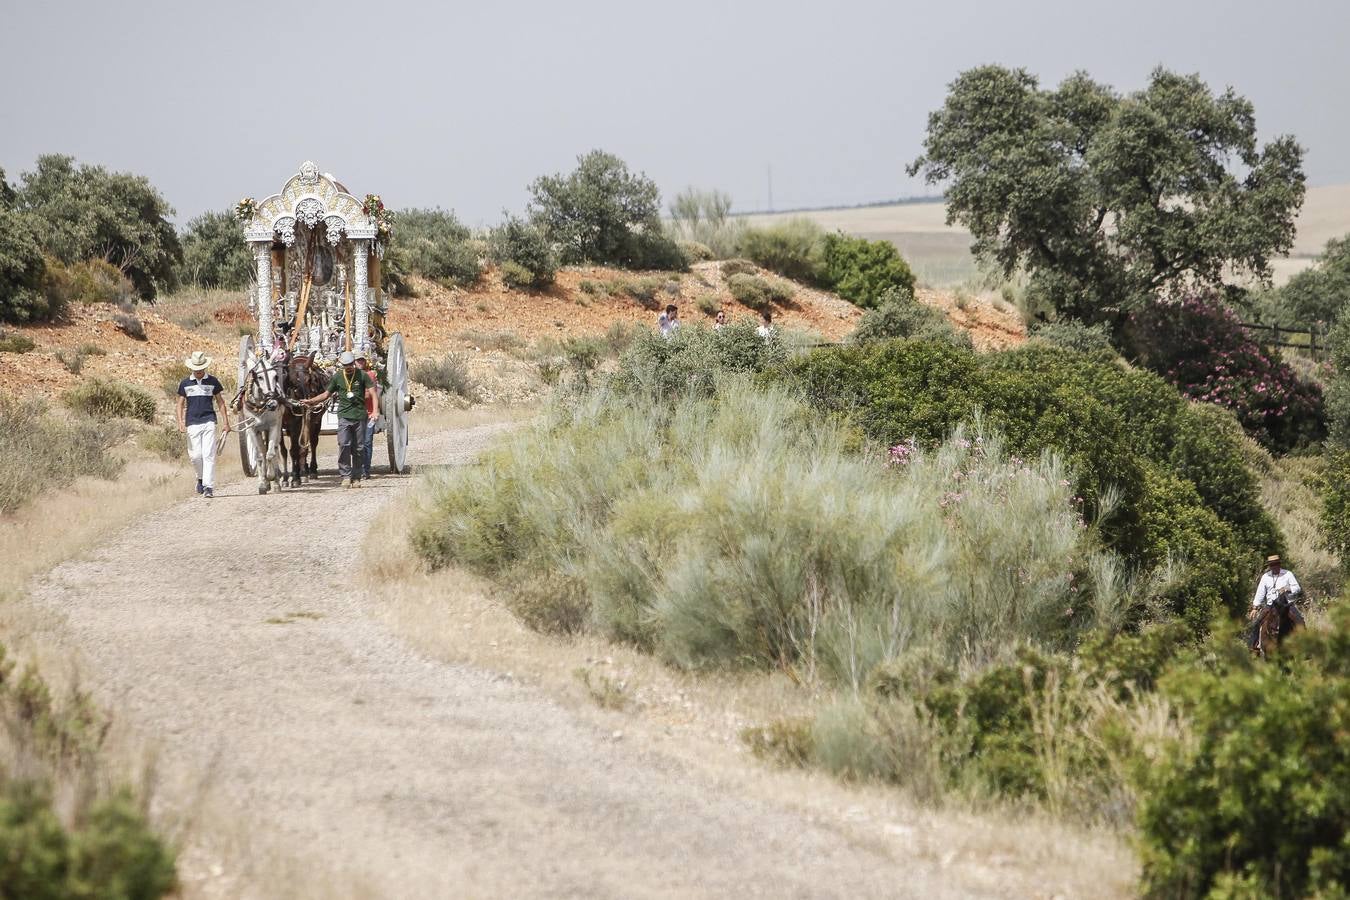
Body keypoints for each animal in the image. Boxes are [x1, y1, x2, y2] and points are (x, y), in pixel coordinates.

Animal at [236, 348, 288, 496]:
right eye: (259, 377)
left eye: (275, 376)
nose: (272, 404)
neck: (260, 405)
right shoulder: (251, 429)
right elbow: (260, 456)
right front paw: (263, 483)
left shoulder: (274, 426)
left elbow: (271, 454)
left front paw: (272, 477)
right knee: (263, 451)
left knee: (274, 449)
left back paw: (277, 479)